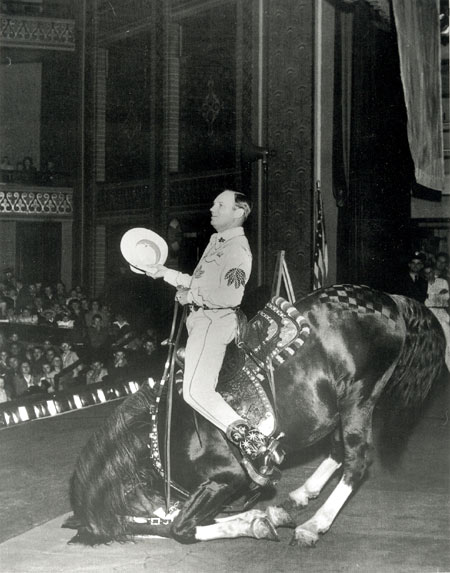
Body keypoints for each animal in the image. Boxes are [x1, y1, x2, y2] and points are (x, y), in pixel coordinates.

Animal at [64, 284, 446, 544]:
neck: (162, 437)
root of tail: (390, 300)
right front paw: (266, 515)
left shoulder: (226, 478)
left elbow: (182, 527)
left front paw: (259, 520)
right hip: (342, 404)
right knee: (339, 449)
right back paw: (302, 494)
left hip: (360, 395)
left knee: (357, 459)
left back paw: (313, 525)